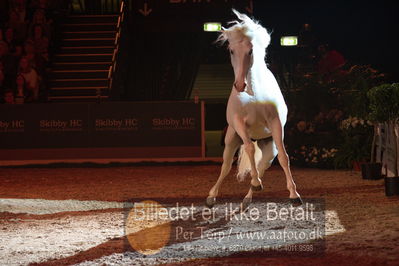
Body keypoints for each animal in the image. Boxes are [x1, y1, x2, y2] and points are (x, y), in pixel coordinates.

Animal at [208, 9, 302, 210]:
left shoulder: (276, 124)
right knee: (226, 166)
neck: (254, 94)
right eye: (231, 50)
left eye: (250, 51)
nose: (239, 85)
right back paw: (212, 197)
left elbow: (284, 158)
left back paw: (247, 198)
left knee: (261, 167)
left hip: (268, 148)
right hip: (231, 139)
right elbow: (249, 149)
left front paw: (294, 195)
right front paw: (256, 182)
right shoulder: (239, 124)